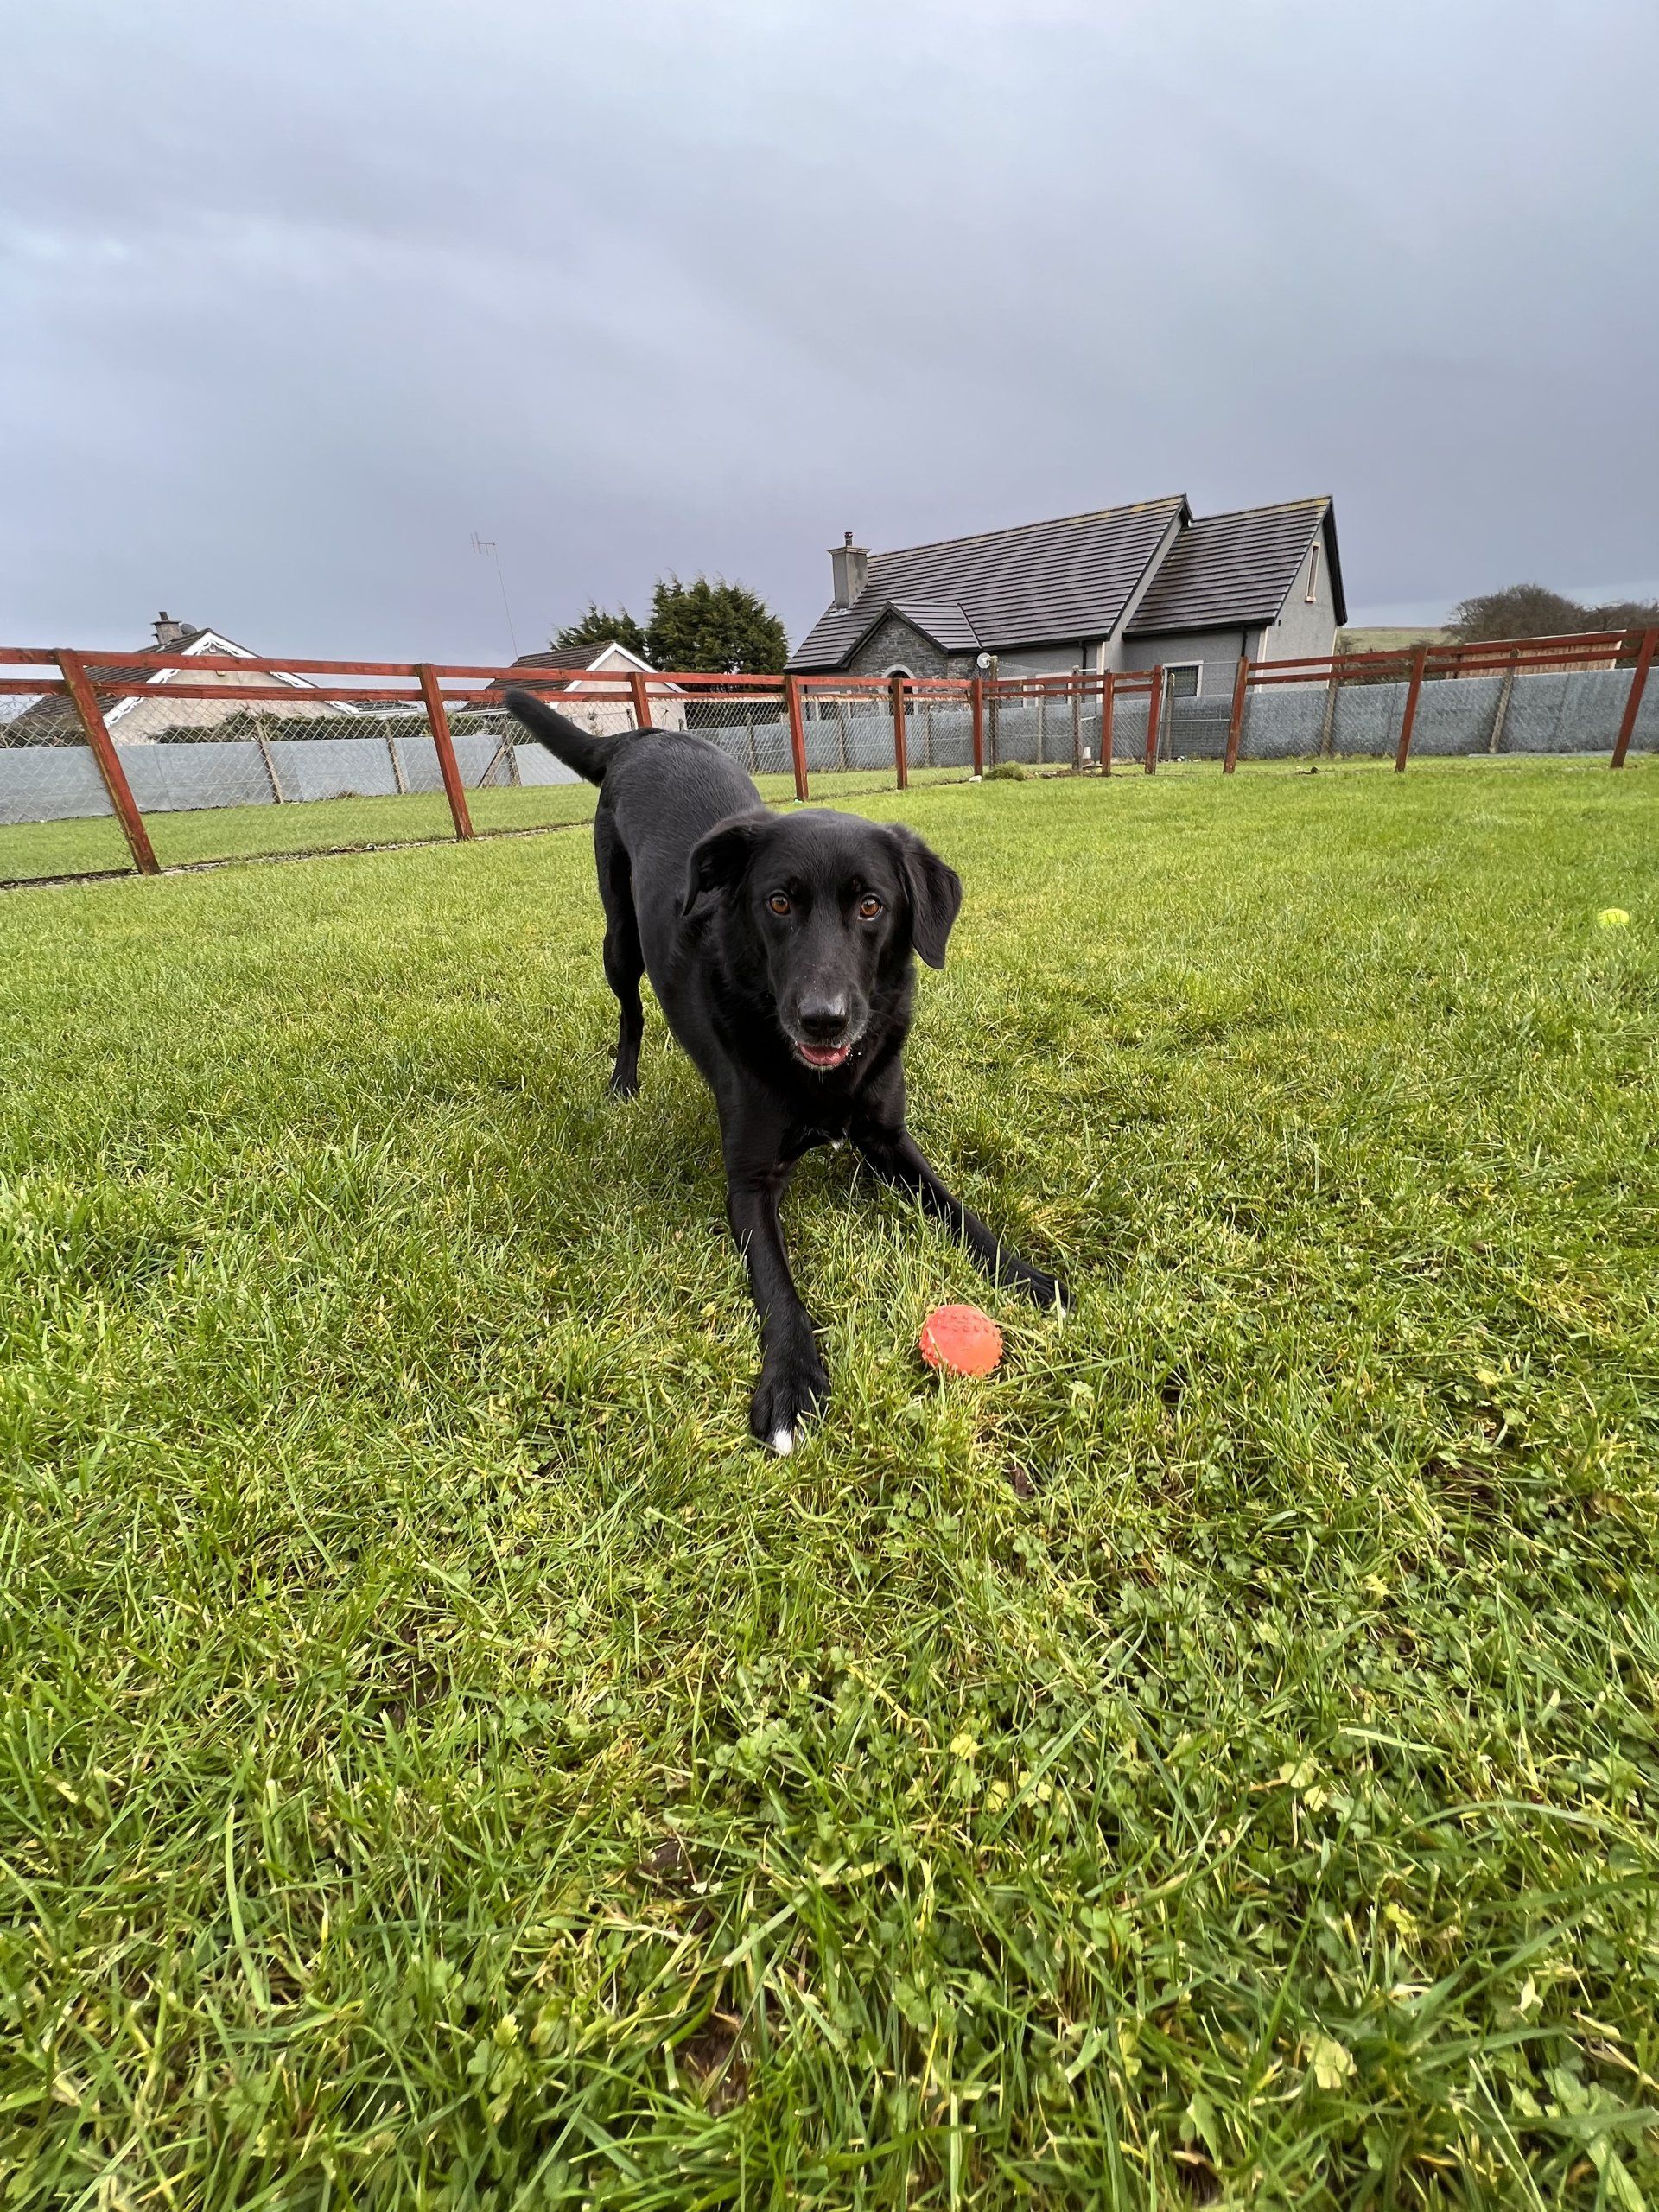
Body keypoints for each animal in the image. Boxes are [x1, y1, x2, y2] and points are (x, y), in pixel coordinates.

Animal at [505, 689, 1066, 1451]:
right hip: (618, 939)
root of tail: (641, 737)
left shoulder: (889, 1138)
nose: (823, 1020)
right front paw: (792, 1380)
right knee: (630, 1011)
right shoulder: (749, 1182)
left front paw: (1027, 1277)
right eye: (777, 902)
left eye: (870, 905)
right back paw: (623, 1083)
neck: (821, 1076)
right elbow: (776, 1284)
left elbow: (960, 1212)